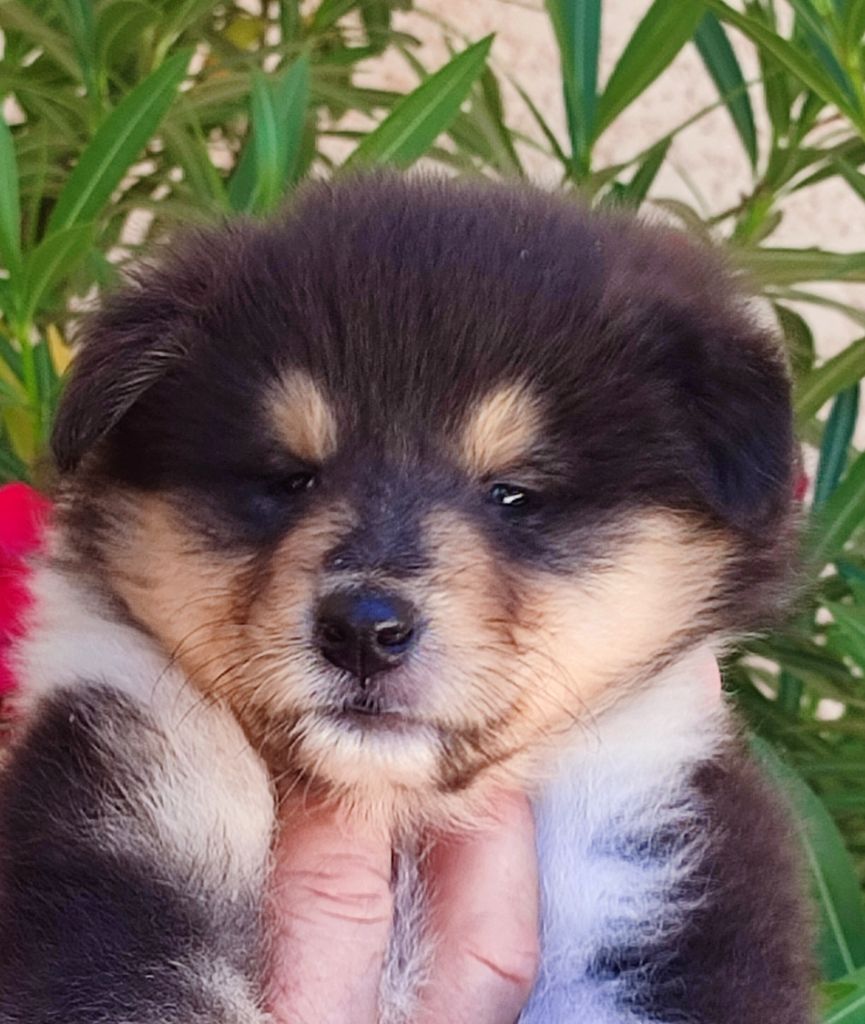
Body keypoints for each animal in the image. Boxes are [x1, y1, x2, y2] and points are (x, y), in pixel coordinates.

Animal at [0, 174, 812, 1022]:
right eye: (289, 478)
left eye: (514, 494)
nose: (362, 629)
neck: (395, 808)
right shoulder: (127, 813)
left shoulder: (648, 859)